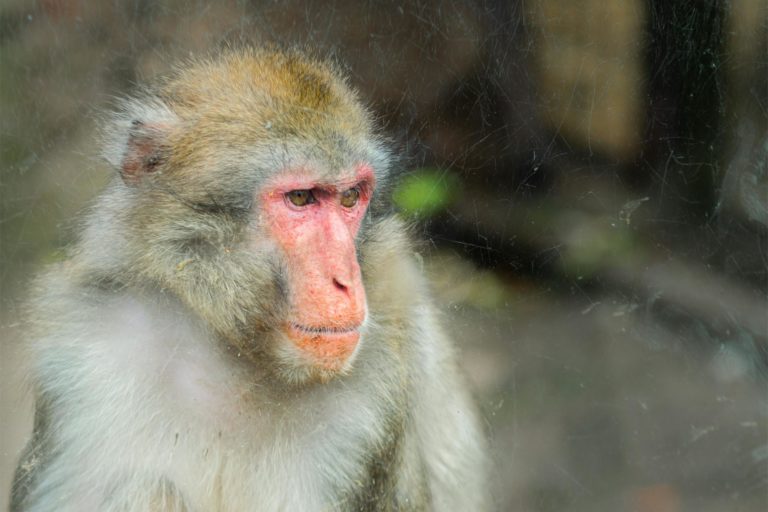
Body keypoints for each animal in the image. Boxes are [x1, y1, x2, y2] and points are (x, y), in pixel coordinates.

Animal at [11, 48, 488, 511]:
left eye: (351, 197)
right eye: (301, 198)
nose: (346, 280)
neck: (238, 361)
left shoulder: (374, 395)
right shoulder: (84, 354)